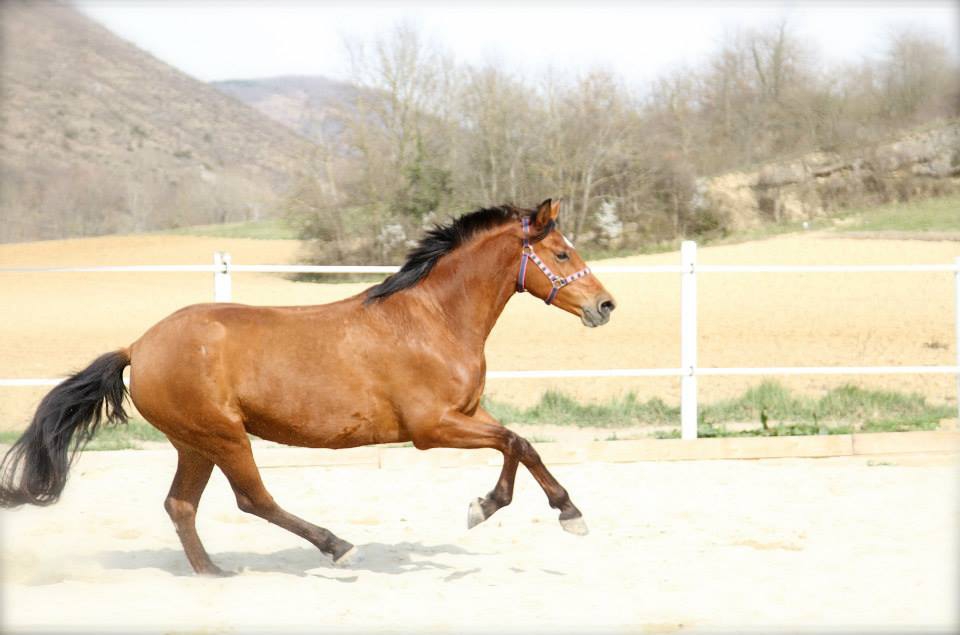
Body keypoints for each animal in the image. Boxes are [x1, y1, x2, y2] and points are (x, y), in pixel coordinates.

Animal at [0, 198, 616, 575]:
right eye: (562, 252)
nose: (605, 306)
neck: (433, 319)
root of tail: (138, 346)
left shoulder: (468, 413)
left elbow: (521, 444)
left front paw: (516, 507)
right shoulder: (431, 427)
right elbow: (515, 441)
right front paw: (533, 511)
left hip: (193, 443)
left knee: (180, 505)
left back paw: (212, 572)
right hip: (224, 437)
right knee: (253, 499)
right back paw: (336, 547)